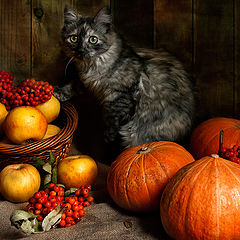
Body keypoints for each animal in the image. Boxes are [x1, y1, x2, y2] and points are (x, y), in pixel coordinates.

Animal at [59, 6, 195, 148]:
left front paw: (109, 137)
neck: (92, 66)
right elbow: (73, 84)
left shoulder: (121, 96)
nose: (81, 50)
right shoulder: (87, 82)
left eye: (93, 39)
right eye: (74, 38)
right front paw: (59, 92)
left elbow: (112, 118)